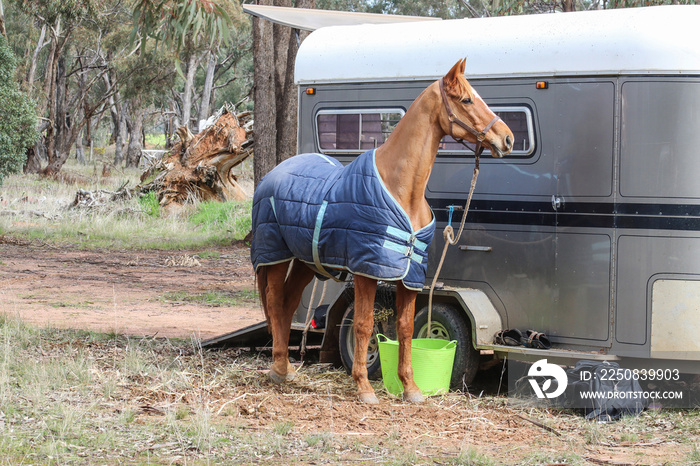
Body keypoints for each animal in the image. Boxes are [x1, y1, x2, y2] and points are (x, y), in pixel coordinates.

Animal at [254, 58, 512, 402]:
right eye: (467, 100)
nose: (507, 138)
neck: (402, 189)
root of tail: (273, 174)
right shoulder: (367, 270)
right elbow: (364, 325)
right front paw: (364, 387)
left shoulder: (410, 275)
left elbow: (405, 328)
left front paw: (411, 389)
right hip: (275, 257)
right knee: (273, 302)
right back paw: (278, 370)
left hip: (304, 263)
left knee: (287, 305)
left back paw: (286, 370)